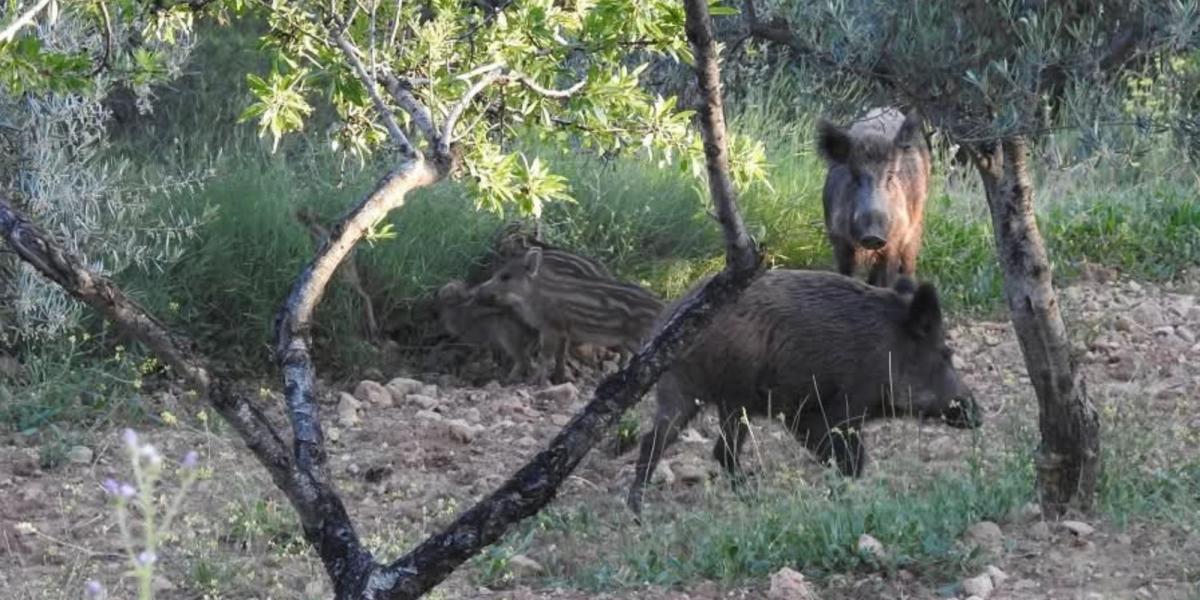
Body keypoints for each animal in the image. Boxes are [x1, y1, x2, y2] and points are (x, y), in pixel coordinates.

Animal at [474, 247, 664, 384]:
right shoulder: (553, 330)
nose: (479, 291)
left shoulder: (551, 327)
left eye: (505, 276)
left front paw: (534, 382)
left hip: (640, 339)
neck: (533, 296)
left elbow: (545, 356)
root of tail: (661, 306)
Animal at [625, 269, 981, 515]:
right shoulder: (843, 407)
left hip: (700, 396)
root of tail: (665, 320)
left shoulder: (803, 416)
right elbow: (852, 460)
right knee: (680, 445)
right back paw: (640, 511)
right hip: (708, 393)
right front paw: (843, 499)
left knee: (697, 447)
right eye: (946, 353)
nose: (977, 414)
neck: (889, 350)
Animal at [817, 107, 931, 287]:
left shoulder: (894, 239)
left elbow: (888, 276)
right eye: (854, 177)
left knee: (908, 264)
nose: (873, 235)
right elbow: (846, 272)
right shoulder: (838, 237)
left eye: (890, 177)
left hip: (915, 226)